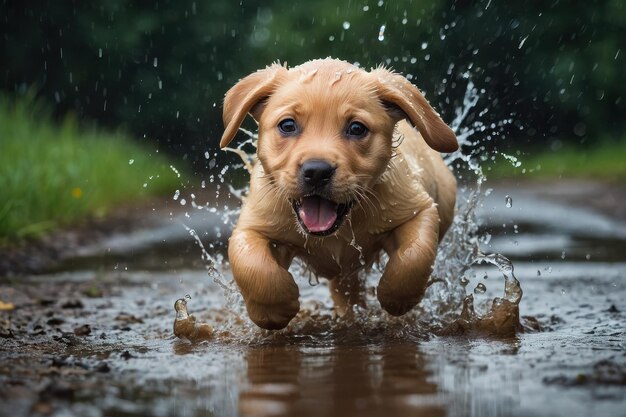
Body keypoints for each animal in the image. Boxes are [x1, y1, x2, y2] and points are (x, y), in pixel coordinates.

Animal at [222, 57, 456, 328]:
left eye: (356, 128)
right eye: (287, 125)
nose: (317, 171)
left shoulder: (418, 208)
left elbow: (413, 257)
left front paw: (395, 297)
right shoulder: (252, 226)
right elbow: (252, 265)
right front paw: (274, 309)